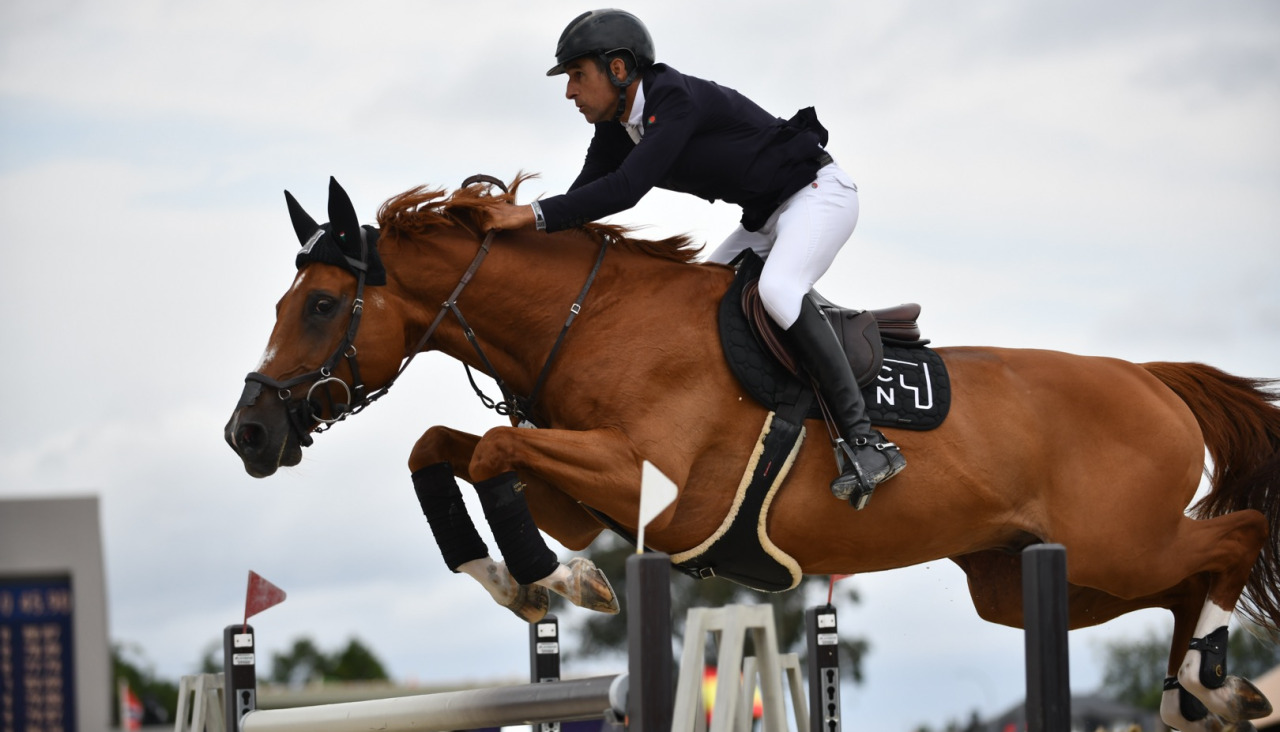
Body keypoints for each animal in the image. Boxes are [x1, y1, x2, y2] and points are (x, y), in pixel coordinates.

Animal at [225, 176, 1280, 732]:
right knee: (1186, 584)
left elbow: (489, 449)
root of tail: (1152, 378)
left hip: (1111, 548)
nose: (250, 434)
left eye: (322, 305)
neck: (590, 320)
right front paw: (520, 580)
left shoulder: (664, 496)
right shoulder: (580, 489)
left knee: (1231, 539)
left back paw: (1208, 682)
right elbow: (446, 448)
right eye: (283, 302)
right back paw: (1207, 691)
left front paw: (556, 582)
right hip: (1028, 582)